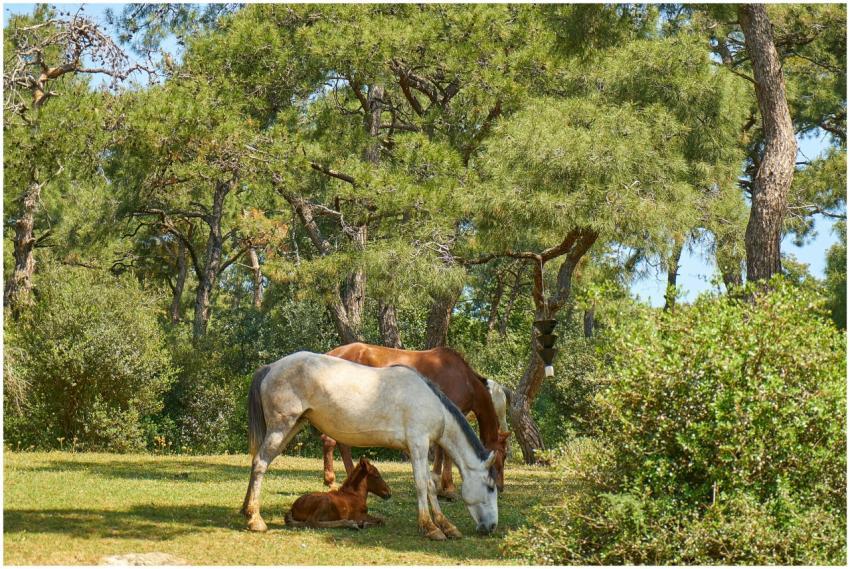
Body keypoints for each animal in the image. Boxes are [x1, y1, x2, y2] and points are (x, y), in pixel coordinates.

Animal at [241, 351, 499, 540]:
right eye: (491, 487)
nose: (492, 526)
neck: (431, 403)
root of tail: (271, 367)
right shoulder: (419, 445)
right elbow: (423, 485)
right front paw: (431, 528)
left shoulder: (418, 448)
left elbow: (430, 484)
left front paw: (447, 526)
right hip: (281, 427)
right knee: (260, 463)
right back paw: (255, 520)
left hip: (292, 426)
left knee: (257, 462)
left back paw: (246, 510)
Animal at [320, 343, 509, 499]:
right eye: (502, 456)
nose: (500, 487)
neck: (465, 379)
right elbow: (446, 453)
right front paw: (447, 488)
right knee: (332, 441)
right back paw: (334, 479)